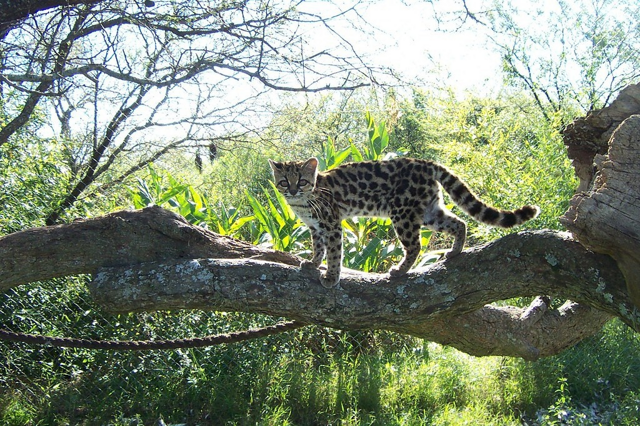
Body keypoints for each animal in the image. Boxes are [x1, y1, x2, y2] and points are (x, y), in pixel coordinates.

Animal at [270, 157, 540, 290]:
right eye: (284, 181)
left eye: (301, 181)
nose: (292, 191)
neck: (302, 203)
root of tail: (425, 162)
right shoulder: (316, 228)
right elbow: (318, 248)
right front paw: (313, 263)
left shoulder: (332, 224)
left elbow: (335, 254)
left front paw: (331, 277)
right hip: (429, 211)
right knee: (459, 222)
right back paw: (454, 252)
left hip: (401, 213)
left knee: (415, 246)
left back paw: (400, 270)